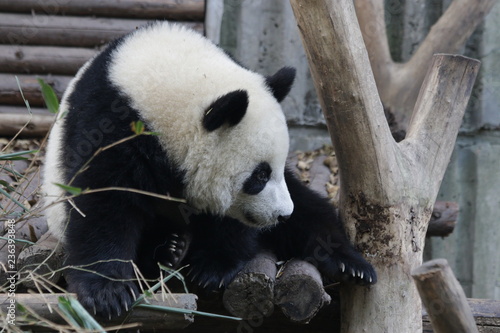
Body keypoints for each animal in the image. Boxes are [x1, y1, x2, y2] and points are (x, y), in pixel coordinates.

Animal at [43, 22, 376, 318]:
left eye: (278, 168)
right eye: (260, 175)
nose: (282, 214)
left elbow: (231, 220)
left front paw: (212, 268)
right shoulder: (109, 127)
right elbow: (102, 204)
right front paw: (108, 293)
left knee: (311, 211)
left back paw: (349, 265)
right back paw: (168, 250)